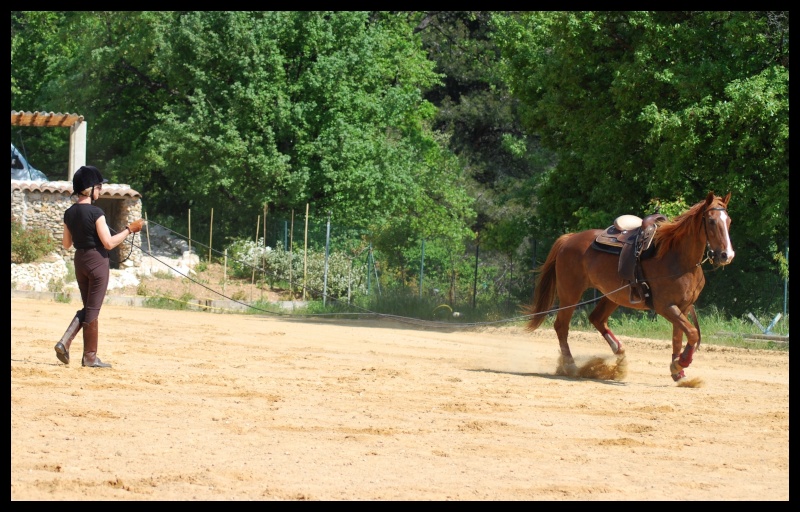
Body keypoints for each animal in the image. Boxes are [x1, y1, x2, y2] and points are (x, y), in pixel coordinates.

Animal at [528, 192, 736, 380]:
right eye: (711, 221)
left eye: (729, 221)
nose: (726, 255)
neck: (679, 259)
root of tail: (568, 239)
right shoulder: (665, 306)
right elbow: (692, 333)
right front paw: (681, 363)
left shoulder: (682, 307)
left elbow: (679, 338)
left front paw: (678, 371)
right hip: (570, 293)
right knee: (561, 326)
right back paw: (571, 366)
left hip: (612, 296)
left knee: (596, 319)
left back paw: (619, 354)